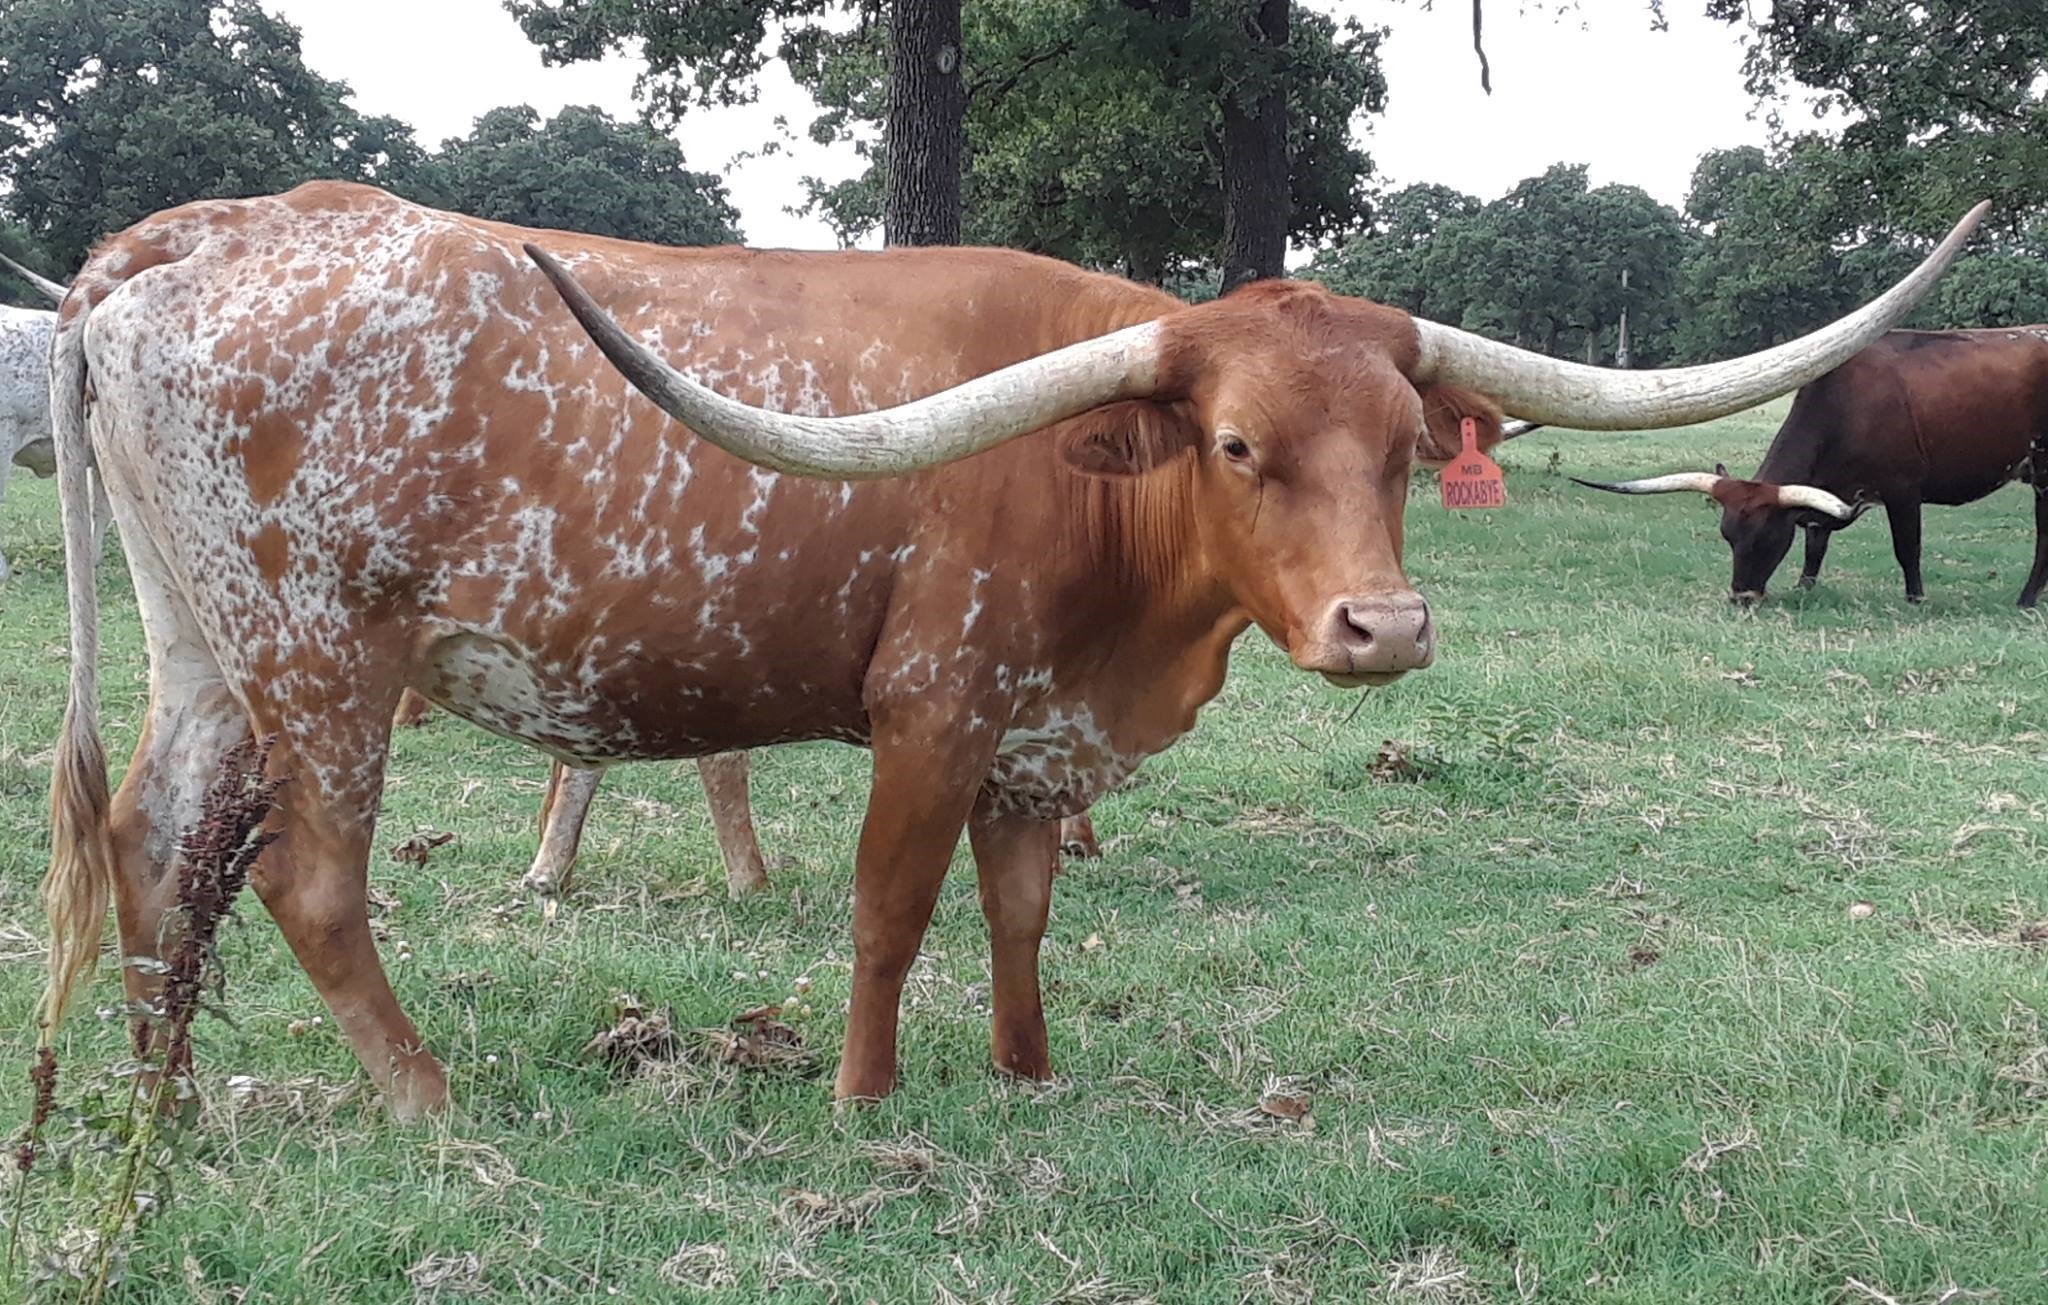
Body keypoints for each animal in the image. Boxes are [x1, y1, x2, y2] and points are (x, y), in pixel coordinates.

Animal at [37, 183, 1984, 1117]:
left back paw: (172, 1108)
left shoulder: (1043, 736)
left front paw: (1031, 1078)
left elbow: (1022, 909)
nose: (1387, 626)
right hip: (322, 658)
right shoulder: (937, 706)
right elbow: (892, 909)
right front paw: (863, 1098)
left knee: (152, 846)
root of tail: (193, 236)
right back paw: (433, 1107)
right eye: (1236, 446)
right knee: (300, 881)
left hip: (208, 647)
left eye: (1402, 451)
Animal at [1574, 328, 2048, 607]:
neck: (1847, 406)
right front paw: (1804, 586)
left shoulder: (1903, 490)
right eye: (1728, 537)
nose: (1742, 597)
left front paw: (1915, 600)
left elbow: (1907, 548)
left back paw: (2025, 600)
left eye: (1767, 539)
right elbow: (1815, 546)